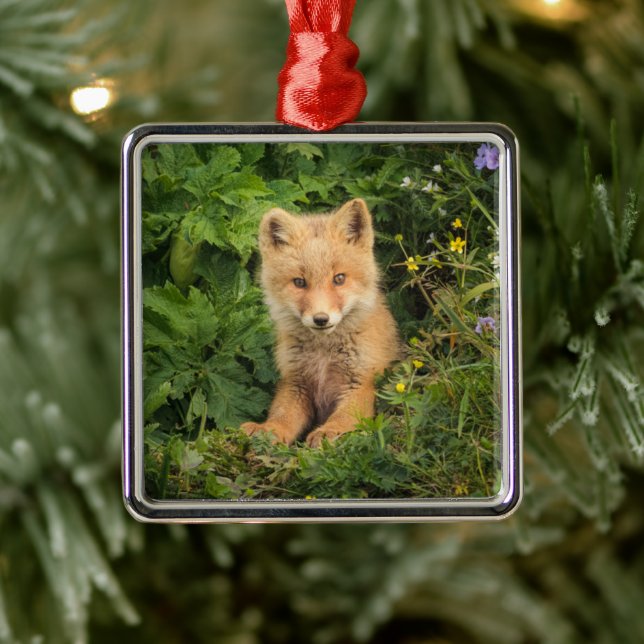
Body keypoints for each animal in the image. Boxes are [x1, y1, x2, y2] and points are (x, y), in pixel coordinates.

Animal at [241, 198, 399, 448]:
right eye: (299, 282)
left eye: (339, 278)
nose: (321, 319)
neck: (324, 355)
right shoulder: (295, 383)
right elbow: (282, 416)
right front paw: (268, 429)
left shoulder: (361, 382)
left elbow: (344, 417)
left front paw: (330, 431)